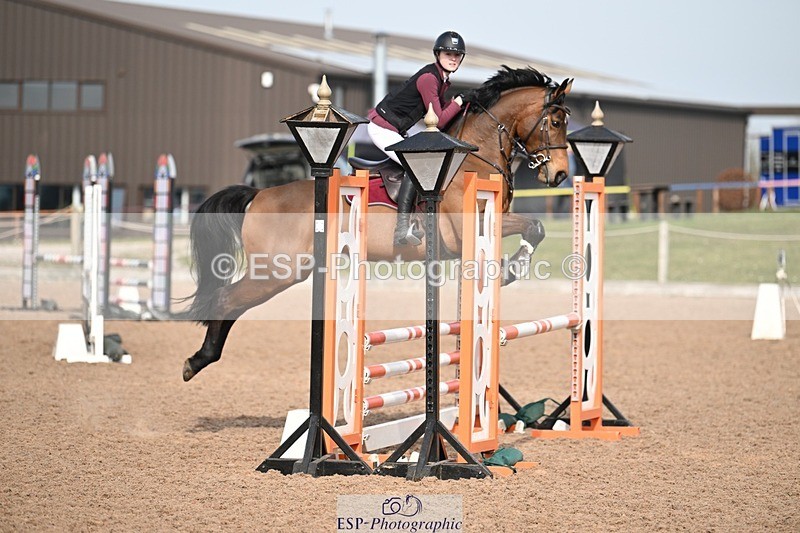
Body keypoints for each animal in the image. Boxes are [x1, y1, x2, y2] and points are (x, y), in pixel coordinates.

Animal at [182, 66, 572, 382]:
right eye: (555, 123)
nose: (559, 175)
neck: (475, 158)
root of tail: (259, 194)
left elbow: (533, 228)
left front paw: (512, 267)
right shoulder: (465, 231)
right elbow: (534, 227)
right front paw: (514, 267)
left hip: (286, 270)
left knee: (233, 305)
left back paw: (200, 359)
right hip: (278, 270)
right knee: (225, 299)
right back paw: (196, 361)